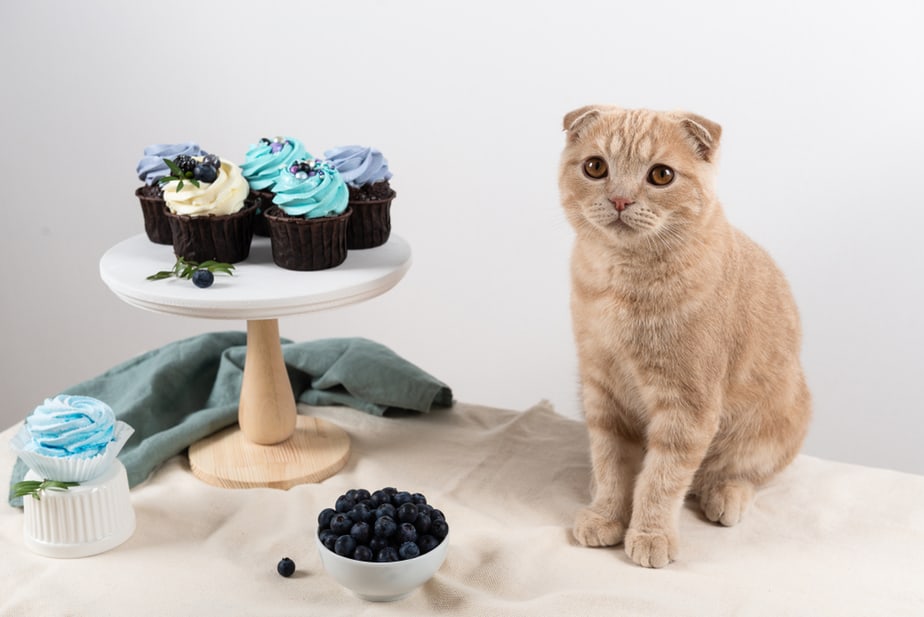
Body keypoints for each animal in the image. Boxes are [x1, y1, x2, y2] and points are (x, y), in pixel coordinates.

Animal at [556, 104, 808, 568]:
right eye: (596, 167)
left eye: (661, 175)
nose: (620, 199)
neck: (623, 281)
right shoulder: (601, 389)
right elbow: (611, 462)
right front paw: (607, 513)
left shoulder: (687, 405)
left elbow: (662, 477)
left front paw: (650, 533)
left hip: (775, 423)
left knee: (742, 472)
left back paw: (725, 495)